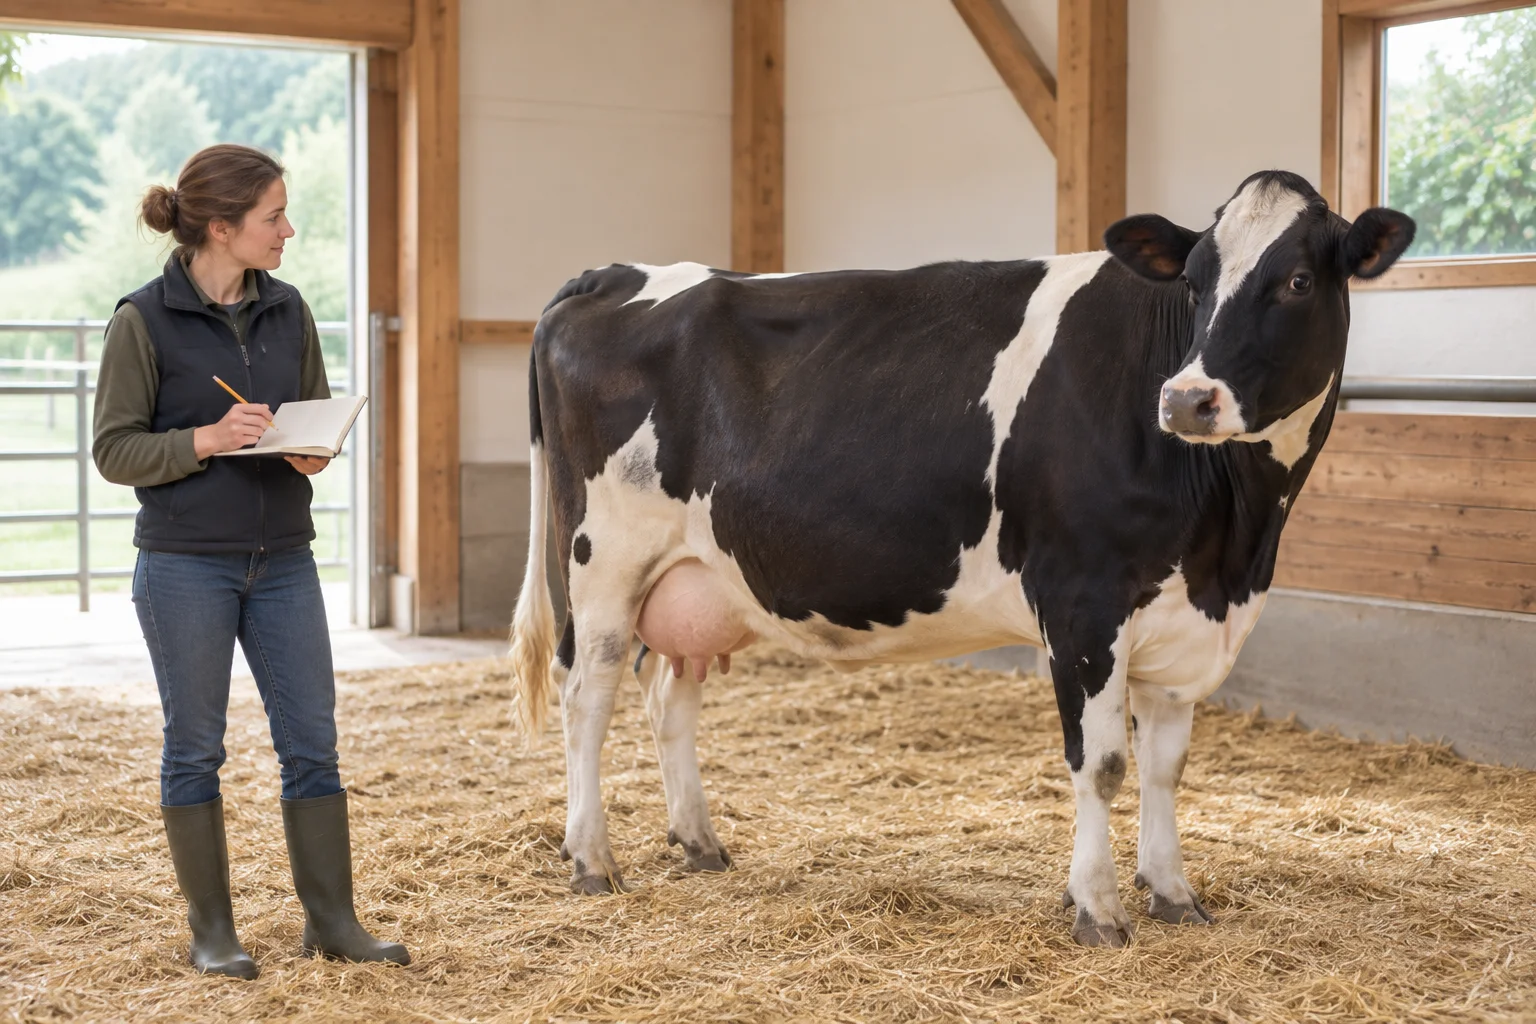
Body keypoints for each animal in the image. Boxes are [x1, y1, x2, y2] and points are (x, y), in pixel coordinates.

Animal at [508, 170, 1415, 946]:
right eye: (1194, 281)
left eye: (1299, 281)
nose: (1186, 398)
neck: (1234, 540)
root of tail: (613, 273)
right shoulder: (1082, 603)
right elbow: (1104, 765)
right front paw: (1098, 908)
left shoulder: (1185, 620)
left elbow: (1166, 769)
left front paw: (1173, 894)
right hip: (602, 565)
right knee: (586, 698)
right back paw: (591, 859)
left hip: (695, 577)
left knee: (671, 698)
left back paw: (697, 842)